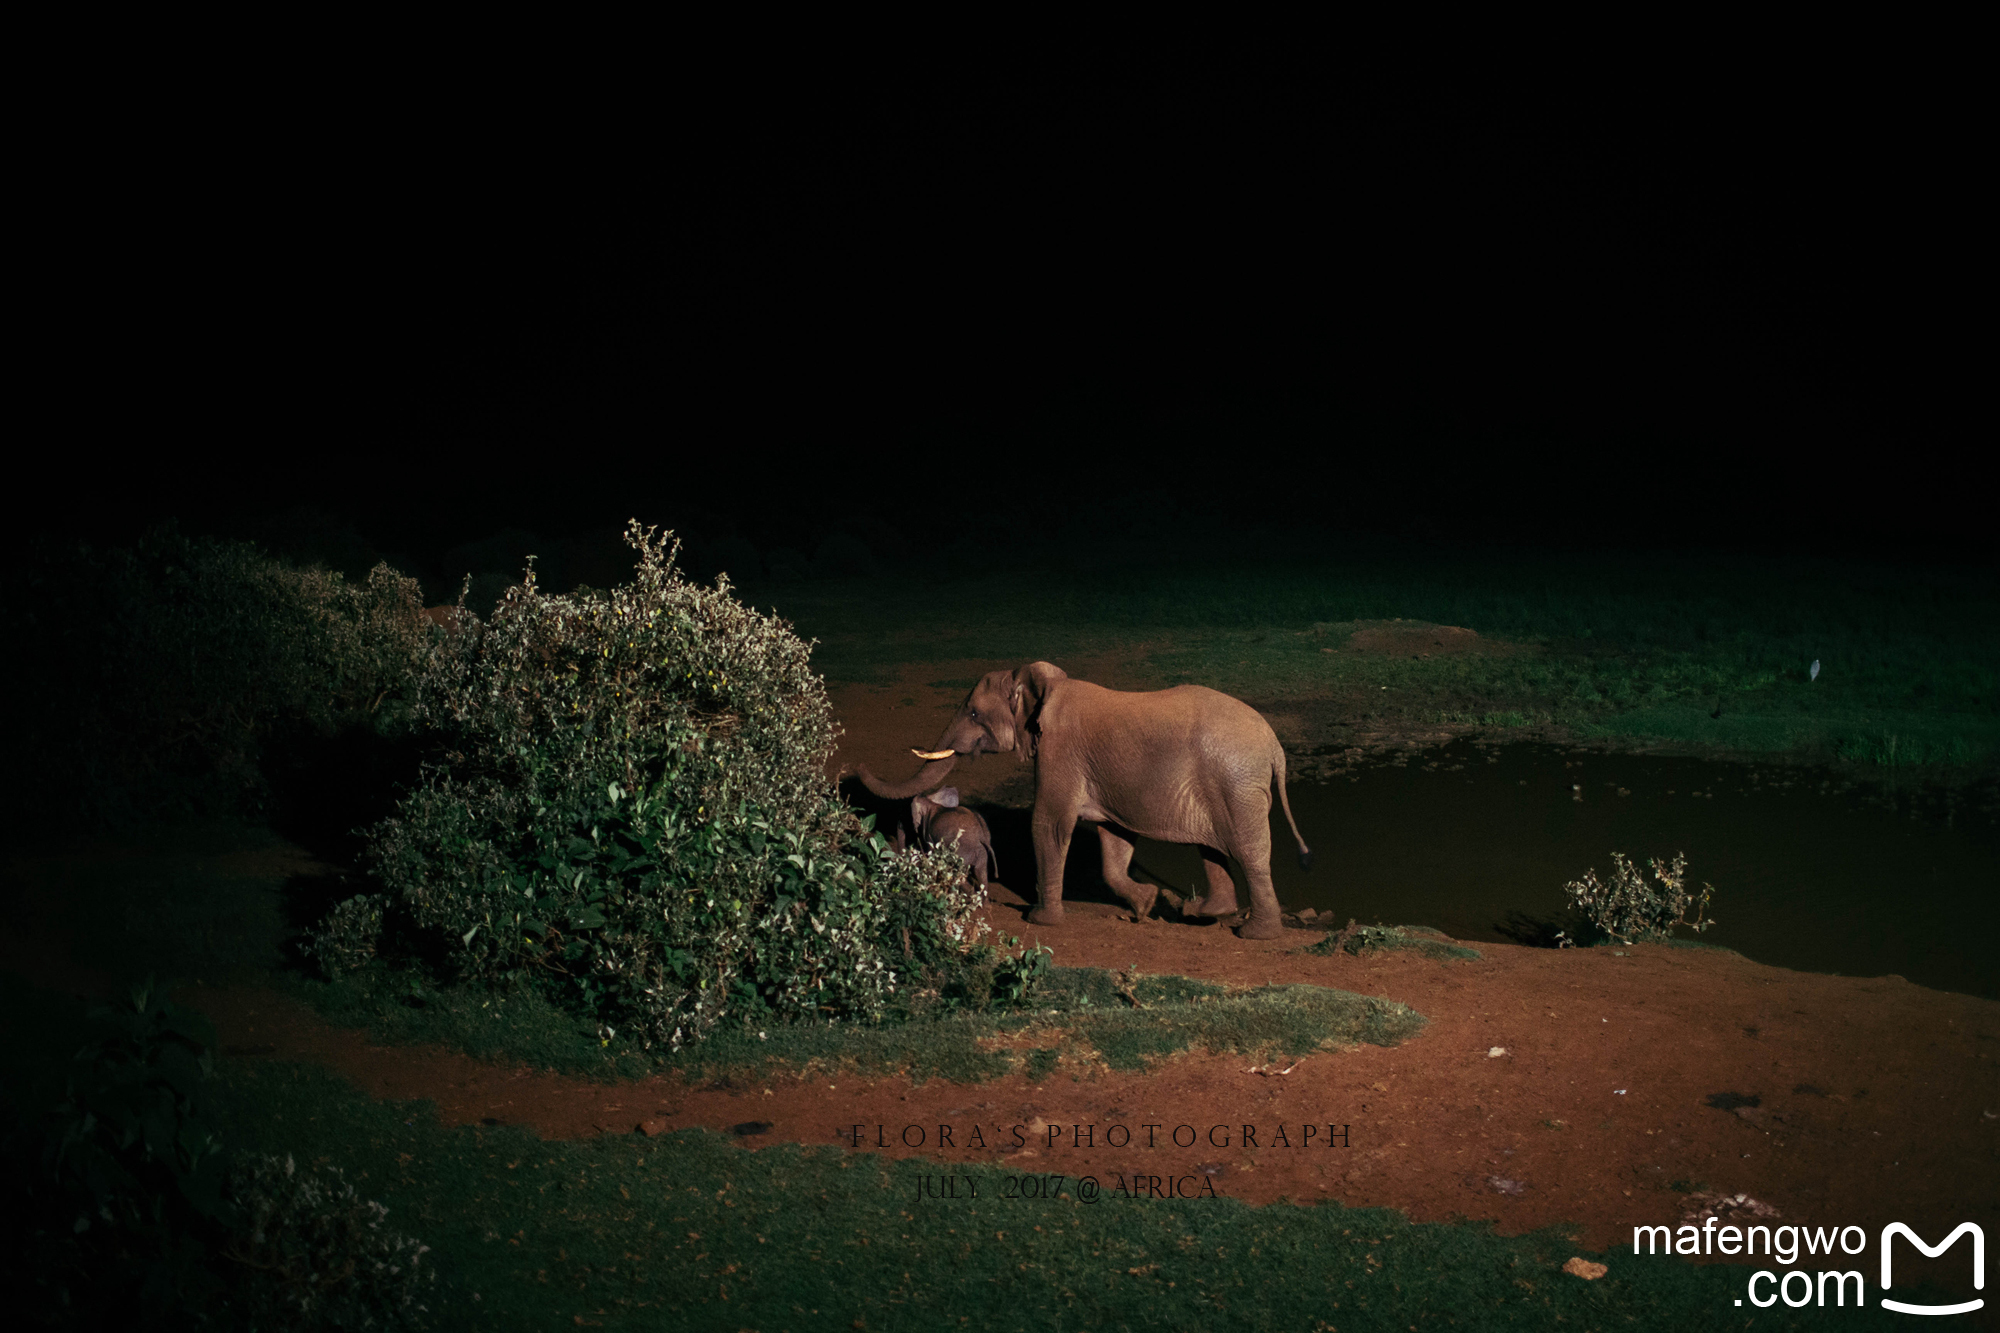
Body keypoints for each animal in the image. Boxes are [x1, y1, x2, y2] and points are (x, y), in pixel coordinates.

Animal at [860, 656, 1312, 932]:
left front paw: (1039, 920)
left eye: (973, 713)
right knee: (1214, 847)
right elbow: (1113, 838)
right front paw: (1146, 905)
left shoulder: (1059, 750)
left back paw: (1254, 934)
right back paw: (1200, 912)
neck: (1040, 679)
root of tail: (1275, 746)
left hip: (1236, 782)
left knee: (1248, 851)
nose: (856, 768)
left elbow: (1048, 822)